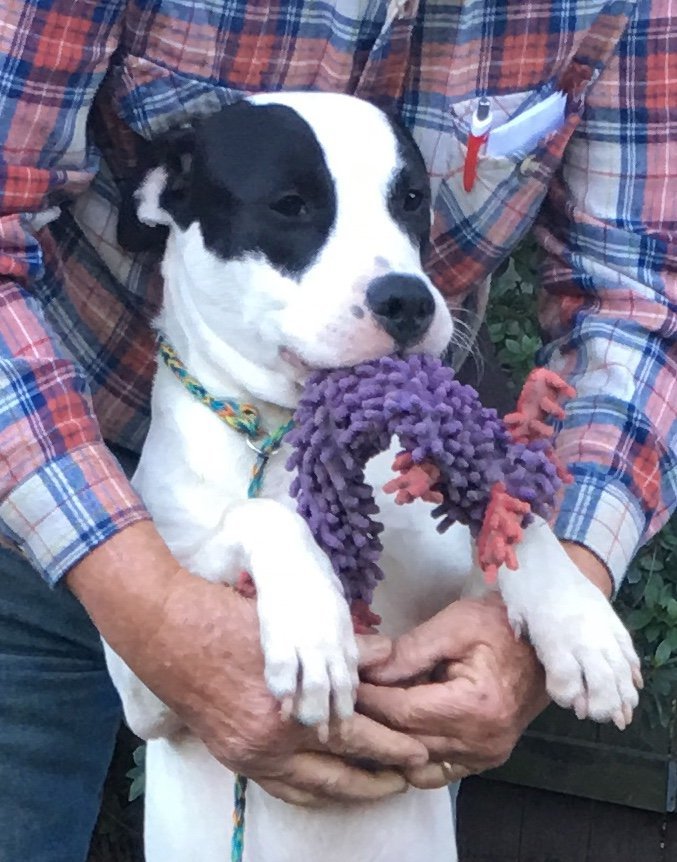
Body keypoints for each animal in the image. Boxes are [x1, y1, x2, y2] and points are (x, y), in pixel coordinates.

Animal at [104, 93, 640, 862]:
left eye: (410, 199)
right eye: (290, 205)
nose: (406, 300)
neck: (289, 433)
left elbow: (513, 520)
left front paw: (581, 627)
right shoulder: (151, 687)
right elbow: (262, 515)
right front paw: (312, 626)